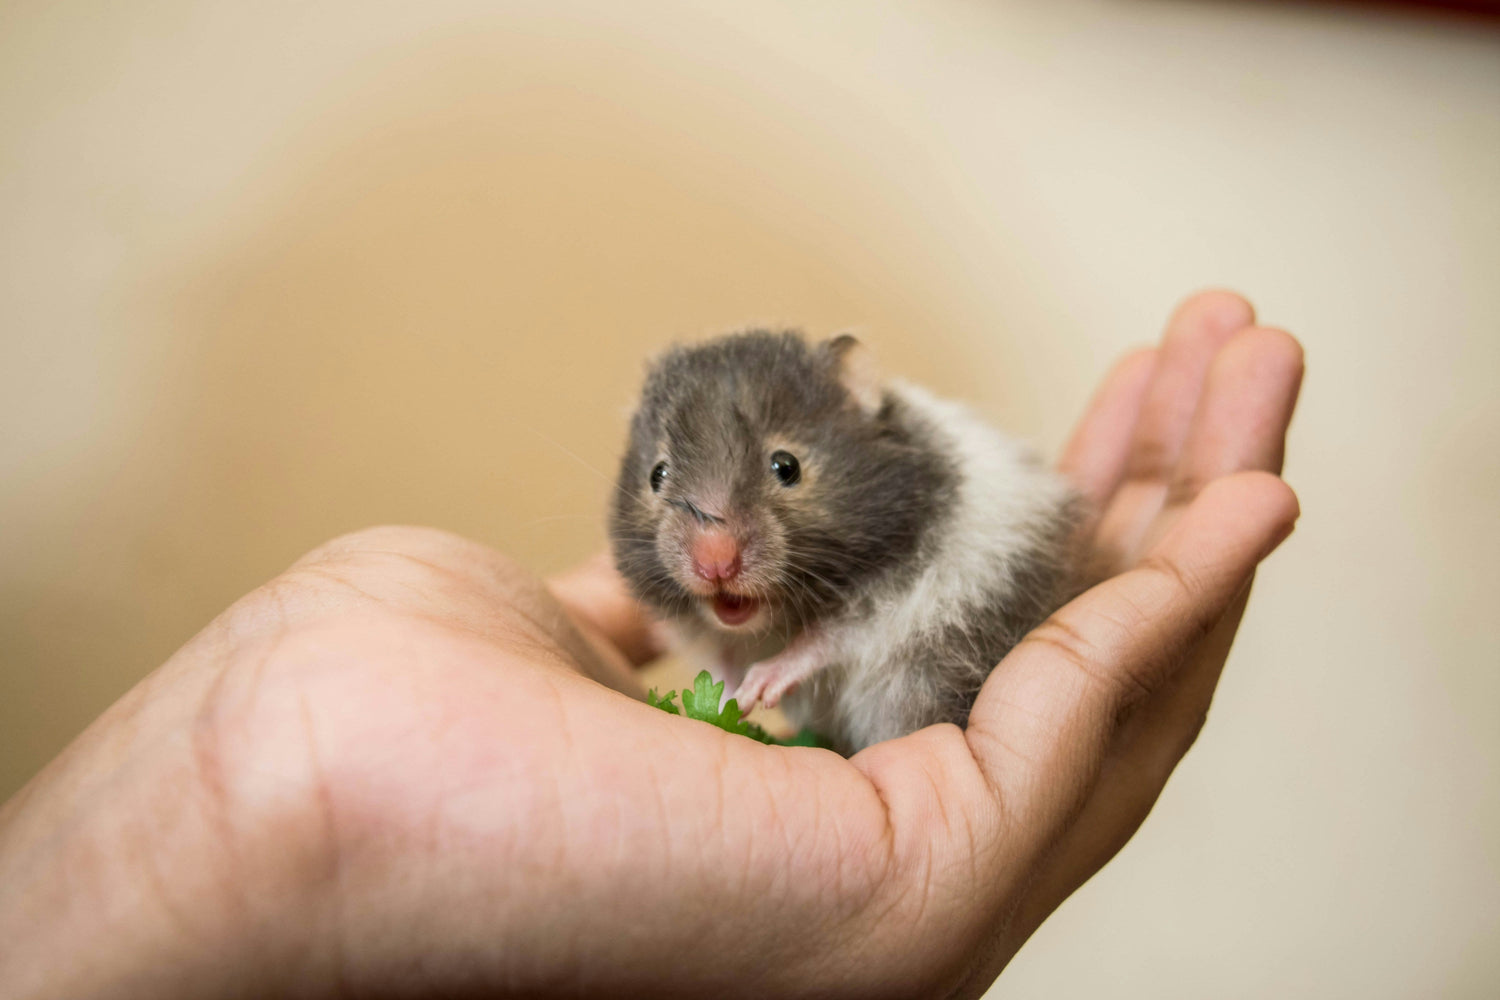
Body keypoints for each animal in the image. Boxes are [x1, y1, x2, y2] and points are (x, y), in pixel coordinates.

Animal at [610, 329, 1082, 755]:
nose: (714, 563)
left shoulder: (896, 596)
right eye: (657, 475)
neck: (775, 622)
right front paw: (730, 698)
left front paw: (759, 686)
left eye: (787, 466)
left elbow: (825, 639)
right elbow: (721, 659)